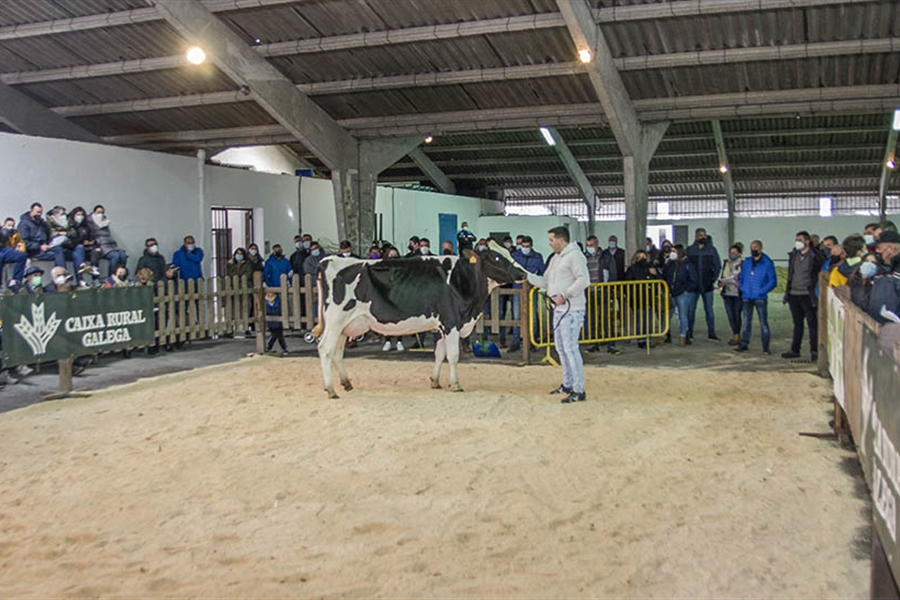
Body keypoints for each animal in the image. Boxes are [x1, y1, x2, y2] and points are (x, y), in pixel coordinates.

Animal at [312, 239, 532, 398]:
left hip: (345, 326)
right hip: (335, 320)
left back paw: (346, 383)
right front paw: (456, 384)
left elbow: (439, 354)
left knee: (337, 352)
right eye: (496, 257)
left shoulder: (443, 327)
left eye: (509, 253)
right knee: (325, 349)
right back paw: (331, 390)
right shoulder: (451, 323)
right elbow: (453, 356)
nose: (523, 273)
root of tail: (326, 260)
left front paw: (435, 381)